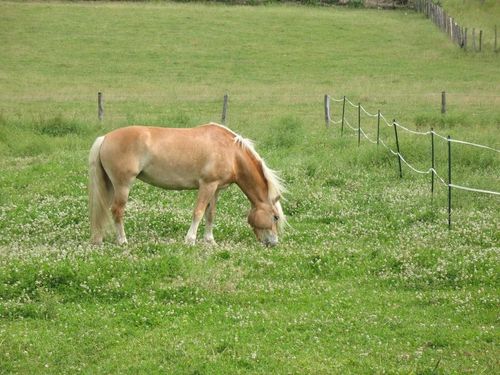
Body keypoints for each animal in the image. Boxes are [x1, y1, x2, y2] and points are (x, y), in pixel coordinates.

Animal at [88, 122, 286, 247]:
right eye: (275, 217)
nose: (273, 243)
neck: (231, 152)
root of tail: (105, 137)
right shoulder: (207, 185)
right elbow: (198, 212)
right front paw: (190, 240)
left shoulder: (215, 189)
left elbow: (210, 214)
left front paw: (210, 241)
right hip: (123, 185)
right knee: (117, 211)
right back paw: (122, 241)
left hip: (111, 185)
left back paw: (98, 239)